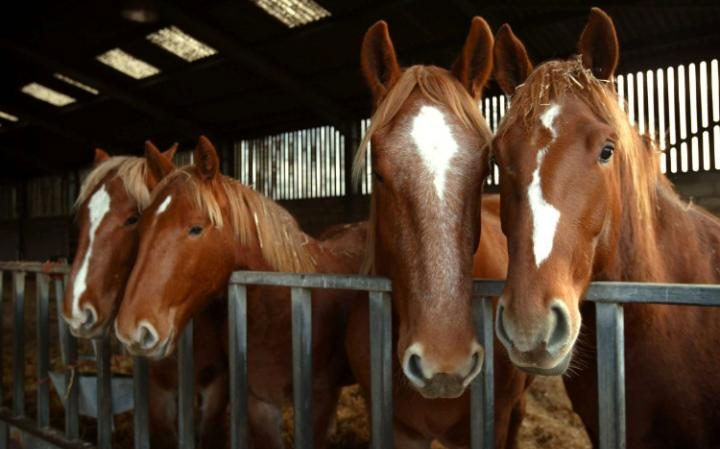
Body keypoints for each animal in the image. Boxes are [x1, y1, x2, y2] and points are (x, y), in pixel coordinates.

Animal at [115, 136, 368, 448]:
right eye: (140, 225)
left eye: (196, 228)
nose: (133, 330)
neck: (280, 314)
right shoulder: (259, 403)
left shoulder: (319, 401)